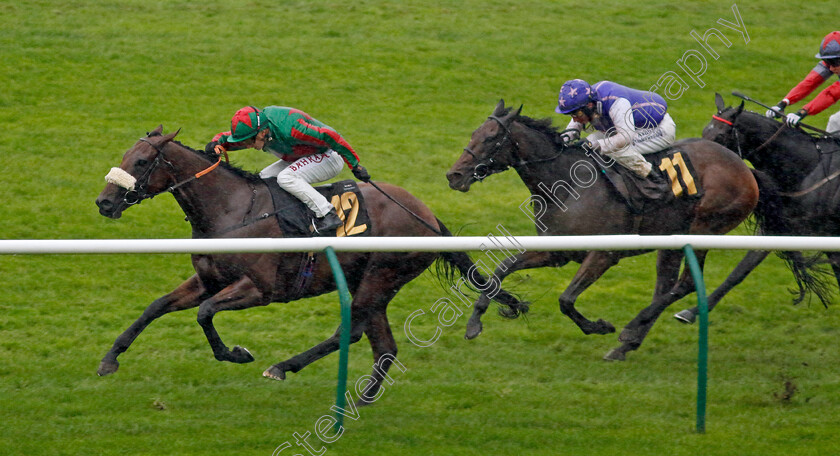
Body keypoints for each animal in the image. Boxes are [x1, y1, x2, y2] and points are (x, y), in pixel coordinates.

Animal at [95, 125, 520, 402]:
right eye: (124, 156)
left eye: (142, 160)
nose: (104, 202)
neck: (232, 210)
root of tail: (428, 216)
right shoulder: (207, 279)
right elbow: (156, 307)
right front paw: (109, 359)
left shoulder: (259, 288)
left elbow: (204, 313)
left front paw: (236, 353)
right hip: (371, 282)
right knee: (382, 345)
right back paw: (360, 400)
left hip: (380, 278)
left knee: (351, 332)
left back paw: (284, 368)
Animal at [446, 100, 760, 360]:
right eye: (474, 133)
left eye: (491, 138)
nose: (454, 175)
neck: (565, 184)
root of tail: (745, 169)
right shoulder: (556, 251)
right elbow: (503, 268)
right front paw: (479, 321)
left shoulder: (604, 253)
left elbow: (565, 300)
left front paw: (598, 326)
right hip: (673, 240)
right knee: (667, 285)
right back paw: (626, 345)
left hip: (705, 227)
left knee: (685, 283)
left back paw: (632, 327)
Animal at [672, 92, 836, 322]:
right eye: (705, 130)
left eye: (720, 136)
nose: (691, 165)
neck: (806, 170)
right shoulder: (775, 230)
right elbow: (740, 271)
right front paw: (691, 312)